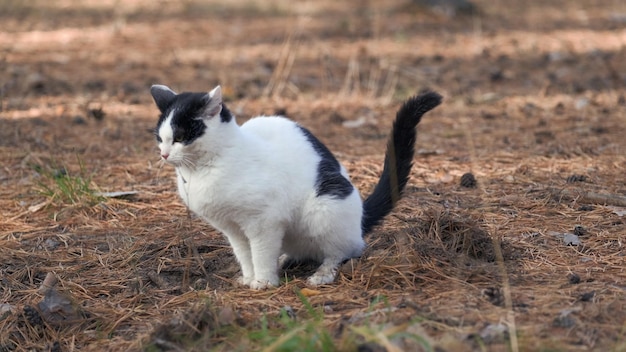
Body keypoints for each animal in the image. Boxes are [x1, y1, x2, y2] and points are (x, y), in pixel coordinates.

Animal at [149, 84, 442, 288]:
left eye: (180, 137)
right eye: (160, 139)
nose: (163, 154)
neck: (202, 172)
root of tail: (360, 219)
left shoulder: (264, 221)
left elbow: (261, 251)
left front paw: (264, 281)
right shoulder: (232, 229)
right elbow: (245, 255)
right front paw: (249, 277)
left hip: (326, 206)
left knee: (345, 249)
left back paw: (322, 274)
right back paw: (284, 259)